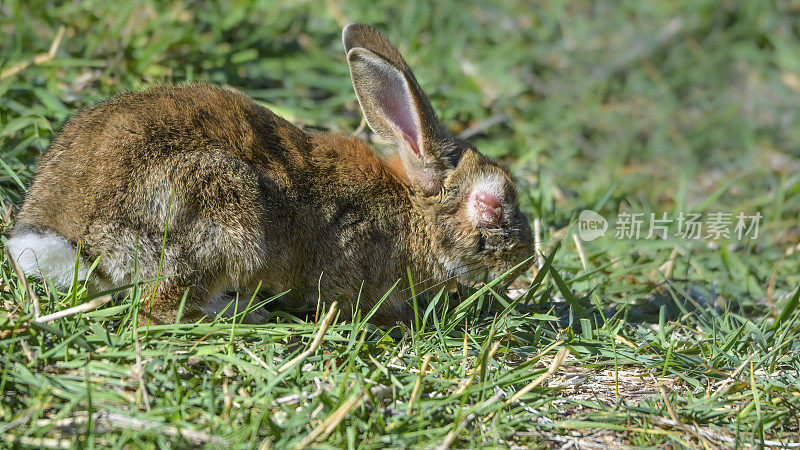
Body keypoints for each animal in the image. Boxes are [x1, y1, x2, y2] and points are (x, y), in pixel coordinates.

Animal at [6, 23, 536, 324]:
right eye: (491, 205)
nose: (526, 261)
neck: (413, 212)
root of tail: (63, 236)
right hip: (219, 214)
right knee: (163, 308)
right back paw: (244, 312)